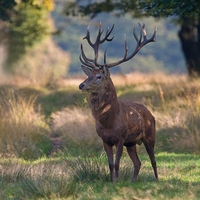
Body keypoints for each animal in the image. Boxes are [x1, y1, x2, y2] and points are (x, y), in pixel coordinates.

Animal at [78, 22, 158, 182]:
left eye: (98, 76)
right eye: (89, 74)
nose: (81, 85)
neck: (109, 122)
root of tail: (150, 114)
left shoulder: (121, 137)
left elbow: (117, 162)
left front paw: (117, 181)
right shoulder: (105, 139)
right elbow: (110, 163)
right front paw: (112, 181)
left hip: (150, 135)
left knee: (153, 160)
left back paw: (158, 180)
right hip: (131, 143)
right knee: (138, 162)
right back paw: (133, 181)